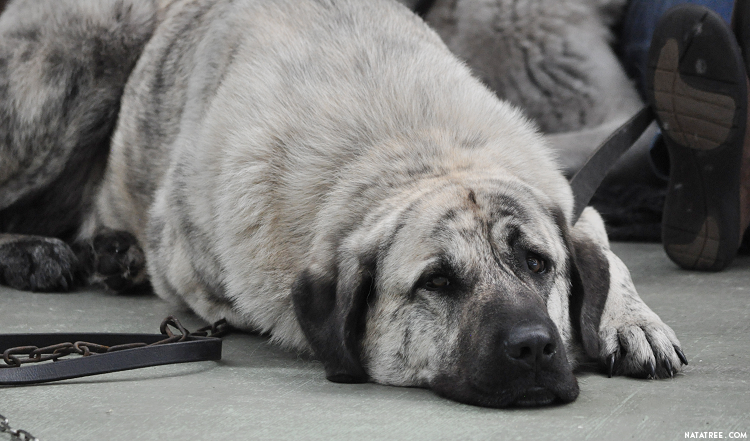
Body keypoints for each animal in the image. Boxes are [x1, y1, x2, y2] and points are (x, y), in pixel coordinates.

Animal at [0, 0, 688, 408]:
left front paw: (632, 320)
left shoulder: (570, 201)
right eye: (437, 282)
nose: (534, 348)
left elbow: (604, 248)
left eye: (539, 265)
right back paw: (38, 252)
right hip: (77, 70)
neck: (418, 148)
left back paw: (114, 253)